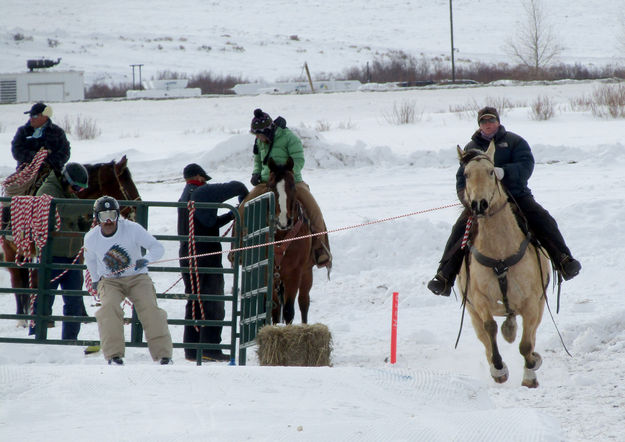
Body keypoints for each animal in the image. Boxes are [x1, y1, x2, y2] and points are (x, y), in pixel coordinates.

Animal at [1, 155, 140, 324]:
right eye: (127, 185)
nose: (137, 209)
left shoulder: (78, 254)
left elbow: (77, 281)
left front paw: (82, 315)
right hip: (11, 252)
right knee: (17, 282)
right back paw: (21, 319)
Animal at [264, 157, 312, 322]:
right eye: (271, 186)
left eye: (292, 186)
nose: (284, 220)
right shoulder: (270, 275)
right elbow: (274, 310)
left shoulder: (294, 273)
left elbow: (289, 311)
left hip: (306, 274)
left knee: (304, 302)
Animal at [456, 142, 548, 386]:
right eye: (466, 174)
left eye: (491, 172)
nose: (479, 204)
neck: (500, 253)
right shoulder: (479, 300)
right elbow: (490, 329)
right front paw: (499, 369)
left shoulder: (531, 304)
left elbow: (526, 344)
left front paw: (530, 371)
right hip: (472, 312)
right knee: (485, 338)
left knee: (530, 334)